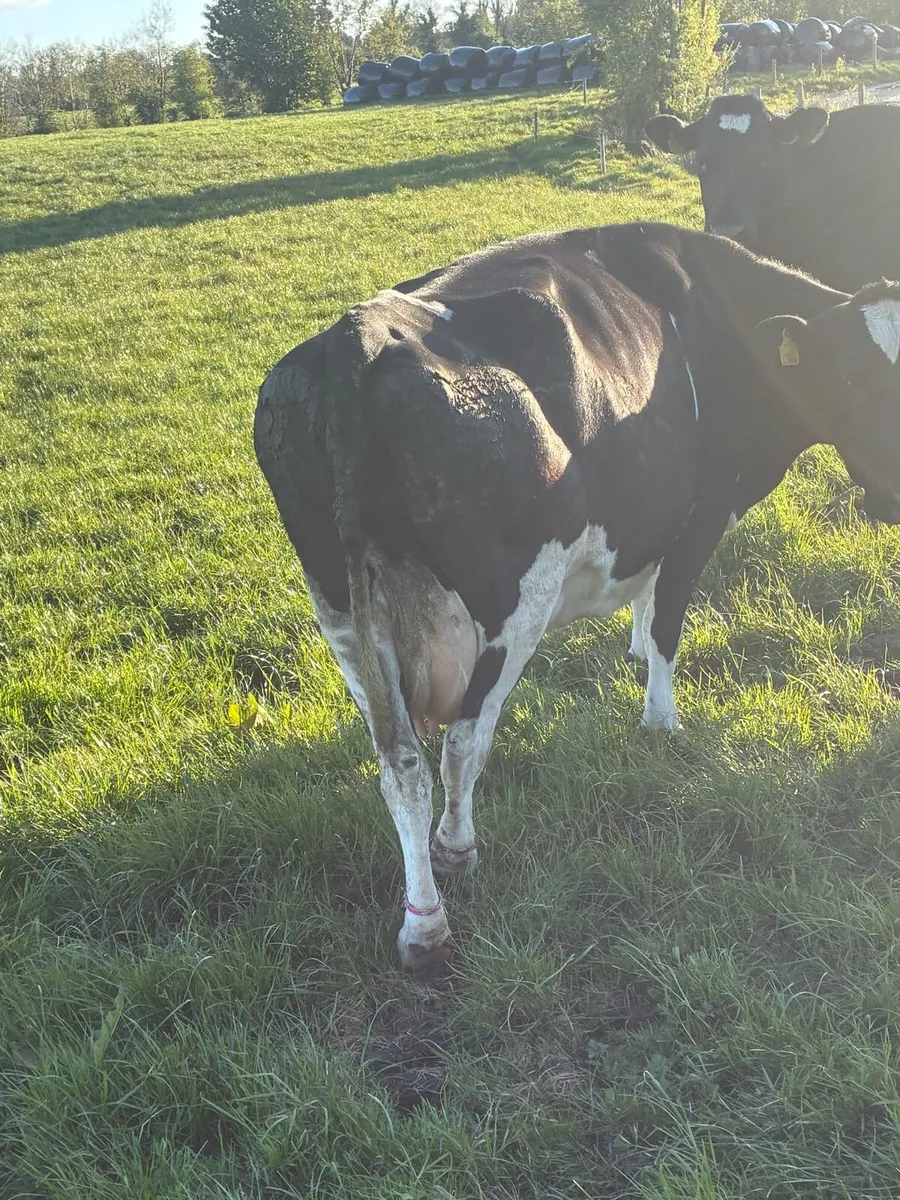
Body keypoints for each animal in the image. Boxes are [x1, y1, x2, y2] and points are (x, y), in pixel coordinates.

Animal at [254, 222, 900, 971]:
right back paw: (455, 854)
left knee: (400, 764)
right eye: (852, 377)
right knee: (463, 741)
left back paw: (423, 921)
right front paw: (661, 721)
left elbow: (648, 601)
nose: (894, 493)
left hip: (342, 610)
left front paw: (633, 653)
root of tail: (357, 335)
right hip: (518, 599)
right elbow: (669, 622)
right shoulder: (701, 515)